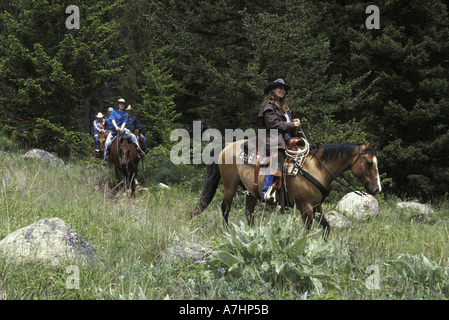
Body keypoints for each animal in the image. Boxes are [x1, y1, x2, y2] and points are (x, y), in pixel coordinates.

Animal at [191, 141, 380, 234]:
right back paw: (228, 231)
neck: (317, 169)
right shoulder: (305, 207)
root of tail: (226, 147)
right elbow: (307, 232)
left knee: (249, 213)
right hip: (230, 186)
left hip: (251, 192)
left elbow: (326, 228)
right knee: (225, 208)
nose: (377, 189)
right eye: (369, 163)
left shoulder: (317, 206)